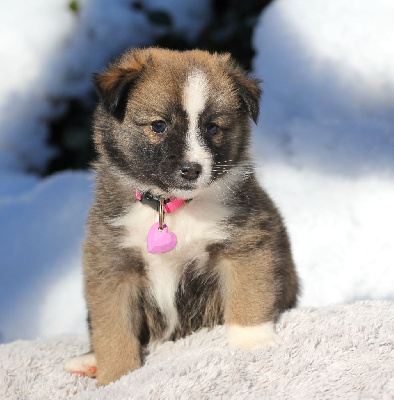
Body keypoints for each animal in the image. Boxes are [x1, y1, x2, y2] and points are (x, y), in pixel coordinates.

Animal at [64, 48, 298, 386]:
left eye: (213, 127)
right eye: (159, 125)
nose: (192, 170)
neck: (170, 206)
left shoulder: (245, 242)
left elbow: (248, 293)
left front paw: (253, 342)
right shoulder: (112, 264)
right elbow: (113, 329)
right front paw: (116, 376)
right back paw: (88, 361)